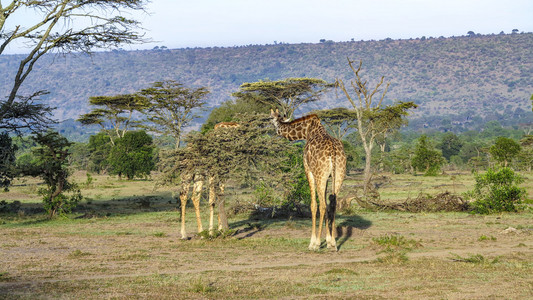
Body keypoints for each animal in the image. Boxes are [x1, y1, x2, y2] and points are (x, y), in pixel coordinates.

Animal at [270, 109, 344, 250]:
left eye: (270, 119)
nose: (274, 133)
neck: (307, 131)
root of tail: (333, 151)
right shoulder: (326, 177)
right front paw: (328, 241)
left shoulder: (308, 170)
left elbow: (313, 205)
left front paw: (313, 242)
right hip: (338, 175)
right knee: (333, 204)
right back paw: (333, 243)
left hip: (320, 174)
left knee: (322, 205)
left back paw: (317, 244)